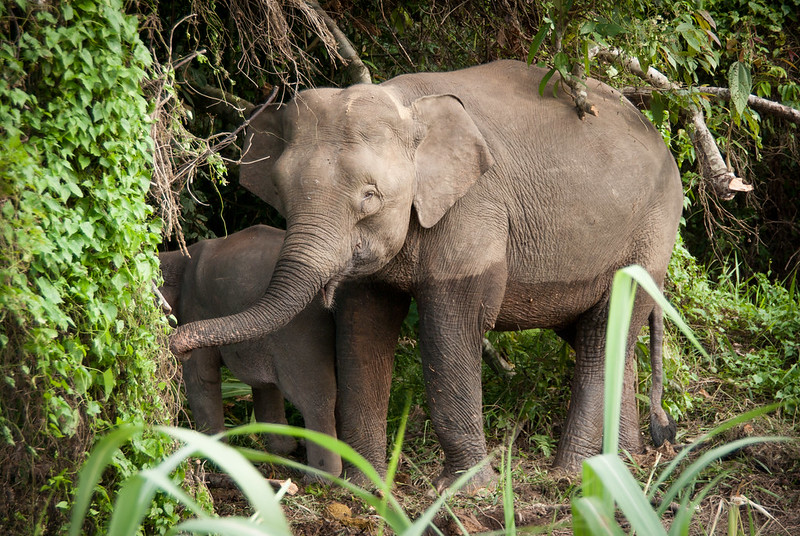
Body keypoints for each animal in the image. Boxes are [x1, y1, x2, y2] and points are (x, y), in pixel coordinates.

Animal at [159, 224, 340, 476]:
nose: (177, 347)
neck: (177, 257)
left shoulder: (194, 307)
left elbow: (201, 378)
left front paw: (214, 457)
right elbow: (264, 385)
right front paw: (282, 450)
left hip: (303, 332)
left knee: (316, 398)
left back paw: (324, 477)